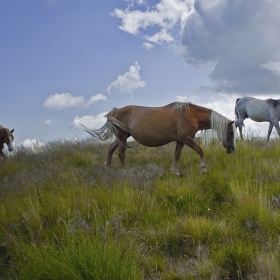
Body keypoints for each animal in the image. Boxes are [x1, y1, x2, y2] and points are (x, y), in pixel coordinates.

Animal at [82, 102, 235, 173]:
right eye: (231, 133)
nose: (232, 150)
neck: (190, 114)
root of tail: (117, 110)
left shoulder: (180, 140)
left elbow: (177, 155)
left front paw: (174, 171)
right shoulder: (187, 139)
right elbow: (200, 150)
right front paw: (203, 169)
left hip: (121, 137)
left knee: (111, 148)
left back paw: (106, 167)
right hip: (122, 136)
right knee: (121, 153)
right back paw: (125, 170)